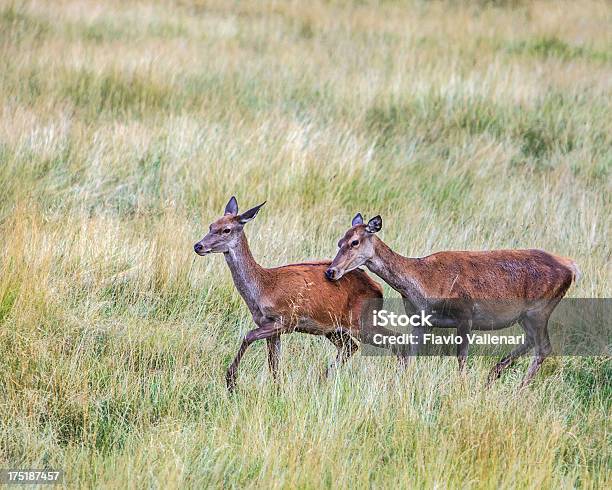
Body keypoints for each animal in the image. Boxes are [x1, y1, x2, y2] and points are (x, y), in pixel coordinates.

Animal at [194, 197, 384, 392]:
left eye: (226, 229)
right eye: (211, 225)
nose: (198, 246)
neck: (262, 289)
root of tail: (378, 288)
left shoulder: (287, 319)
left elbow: (248, 336)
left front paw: (231, 380)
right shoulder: (269, 326)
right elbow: (273, 364)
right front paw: (277, 389)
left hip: (362, 321)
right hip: (333, 328)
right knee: (350, 347)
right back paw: (322, 380)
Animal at [326, 213, 580, 386]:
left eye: (355, 242)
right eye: (339, 241)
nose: (331, 271)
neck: (423, 284)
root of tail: (571, 266)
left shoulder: (465, 315)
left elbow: (461, 358)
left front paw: (462, 386)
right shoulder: (419, 320)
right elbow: (409, 356)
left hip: (540, 309)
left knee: (544, 347)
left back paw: (519, 388)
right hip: (526, 316)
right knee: (531, 342)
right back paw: (494, 374)